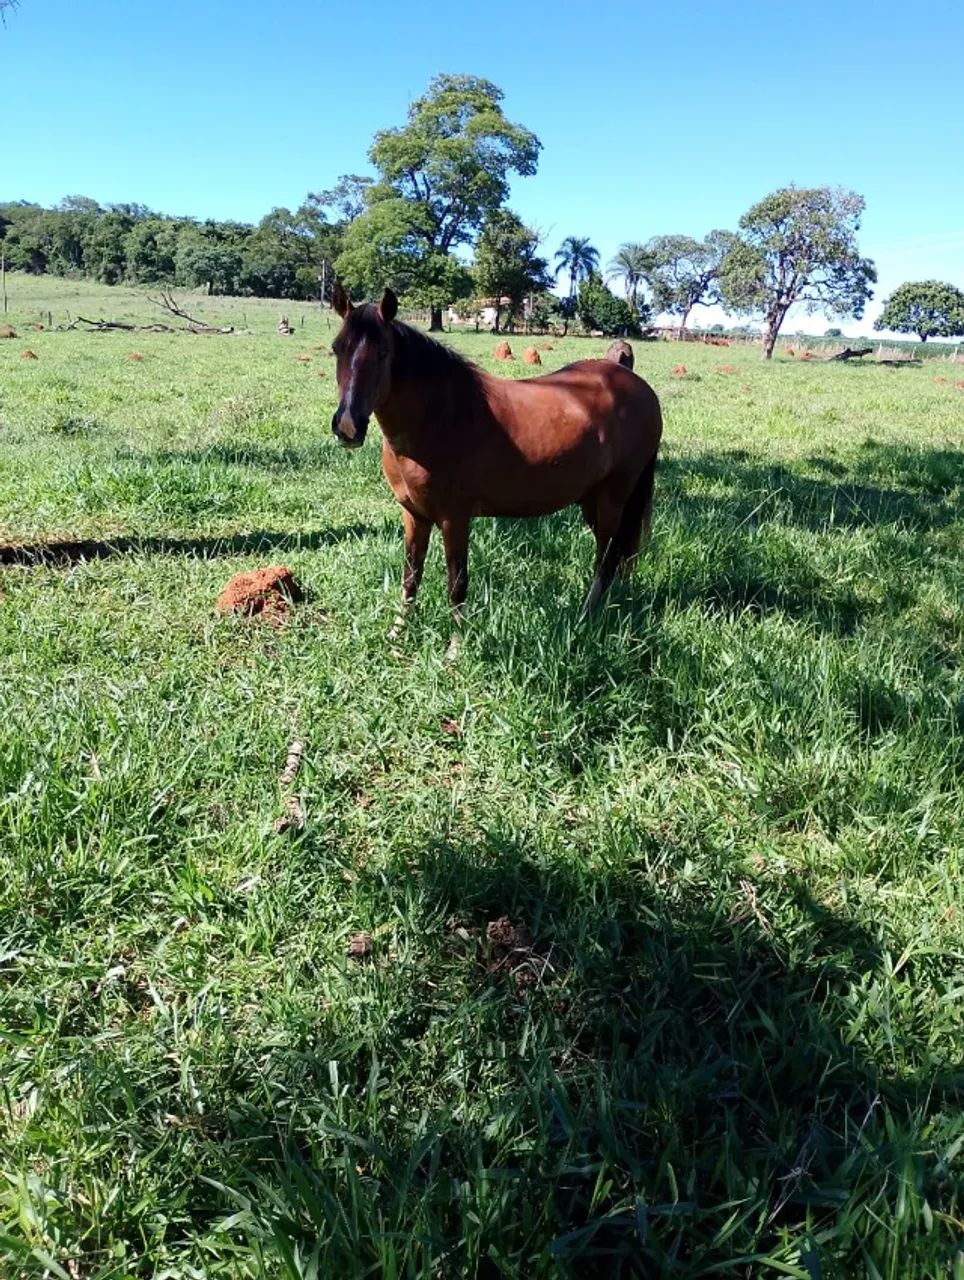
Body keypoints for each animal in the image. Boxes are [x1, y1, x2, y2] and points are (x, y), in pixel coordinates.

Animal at [329, 283, 663, 622]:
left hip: (612, 498)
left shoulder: (454, 519)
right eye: (337, 349)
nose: (348, 427)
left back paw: (586, 617)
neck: (439, 417)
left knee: (606, 557)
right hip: (591, 500)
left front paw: (458, 638)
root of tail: (642, 389)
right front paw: (399, 631)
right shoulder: (414, 515)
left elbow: (457, 587)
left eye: (383, 352)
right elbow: (411, 577)